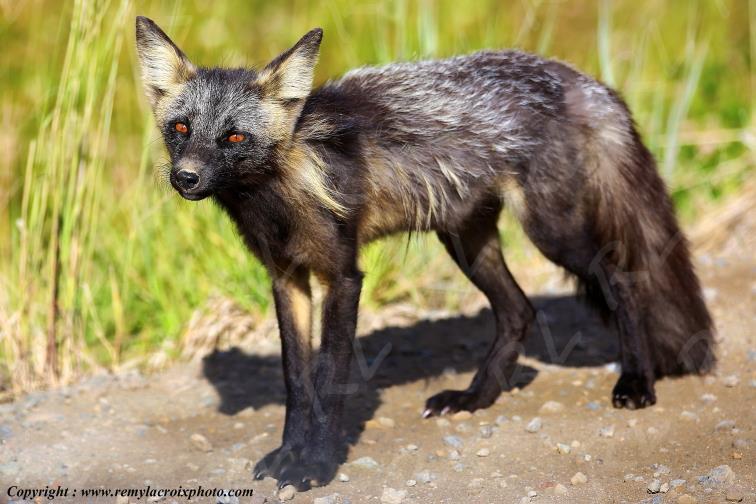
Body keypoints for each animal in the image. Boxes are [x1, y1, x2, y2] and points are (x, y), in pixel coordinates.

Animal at [135, 17, 715, 490]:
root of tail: (576, 77)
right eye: (180, 128)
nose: (185, 178)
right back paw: (475, 397)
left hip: (554, 232)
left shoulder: (343, 277)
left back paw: (636, 381)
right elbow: (297, 384)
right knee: (520, 311)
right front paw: (288, 456)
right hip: (466, 241)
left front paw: (315, 467)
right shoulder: (288, 281)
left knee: (623, 277)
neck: (282, 193)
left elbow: (329, 380)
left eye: (233, 137)